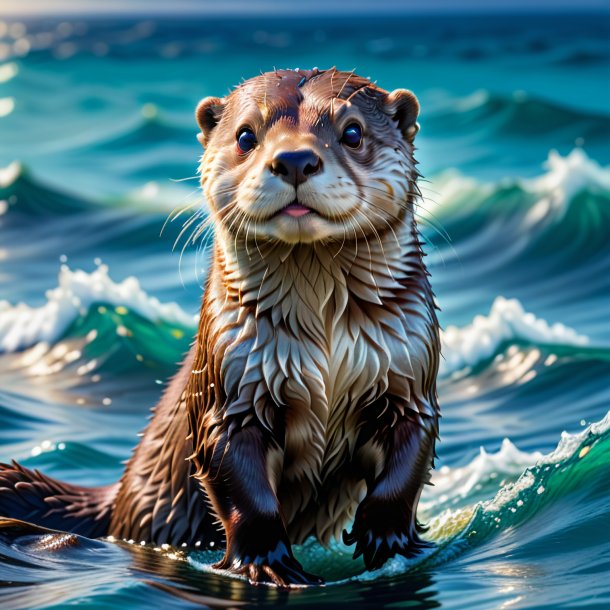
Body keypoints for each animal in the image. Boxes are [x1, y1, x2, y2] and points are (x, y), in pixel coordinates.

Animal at [0, 66, 436, 584]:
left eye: (352, 132)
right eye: (246, 135)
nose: (294, 159)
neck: (327, 352)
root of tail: (116, 500)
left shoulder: (409, 370)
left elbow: (410, 454)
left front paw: (388, 540)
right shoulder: (231, 382)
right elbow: (238, 479)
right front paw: (269, 563)